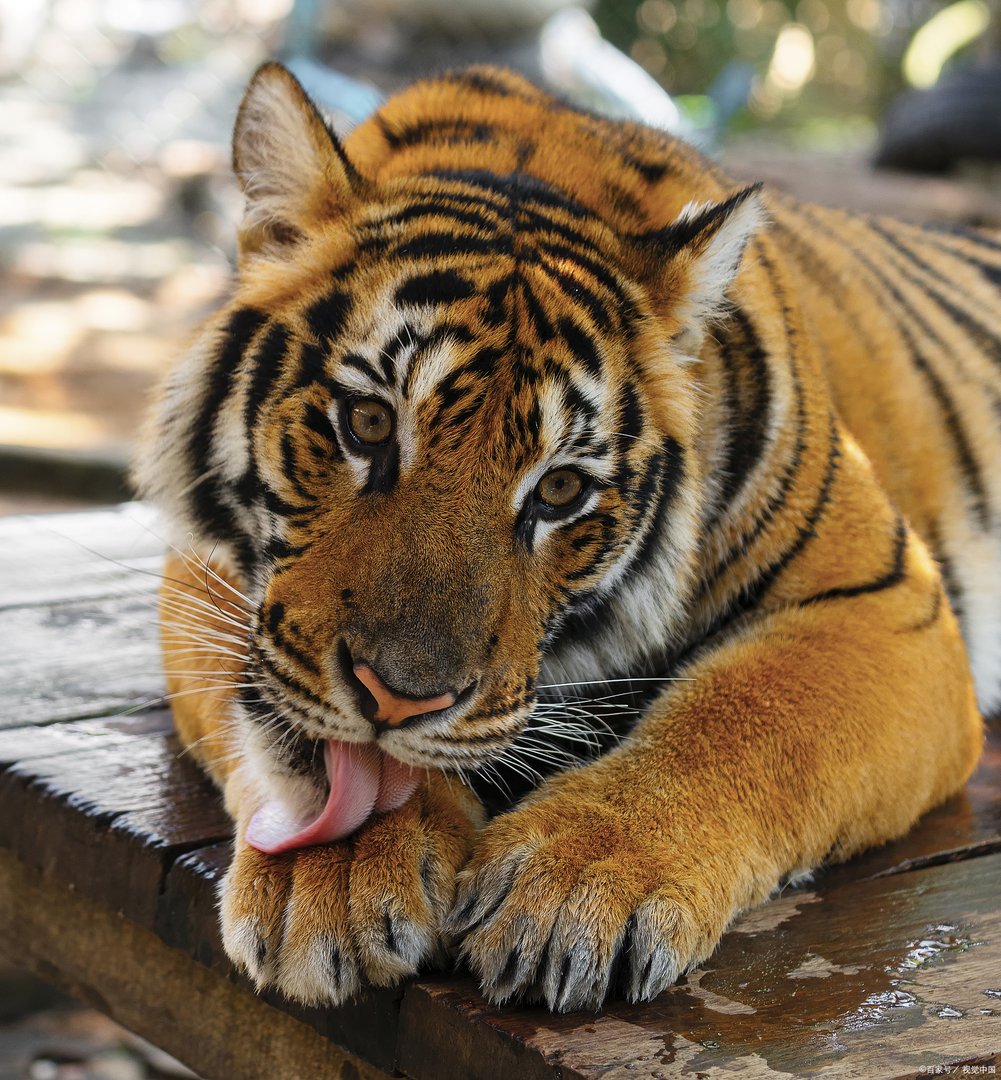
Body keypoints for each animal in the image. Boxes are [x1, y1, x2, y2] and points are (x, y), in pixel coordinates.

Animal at [135, 62, 996, 1014]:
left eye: (558, 490)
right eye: (367, 423)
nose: (396, 699)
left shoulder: (887, 600)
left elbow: (745, 718)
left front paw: (578, 883)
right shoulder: (198, 563)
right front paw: (338, 876)